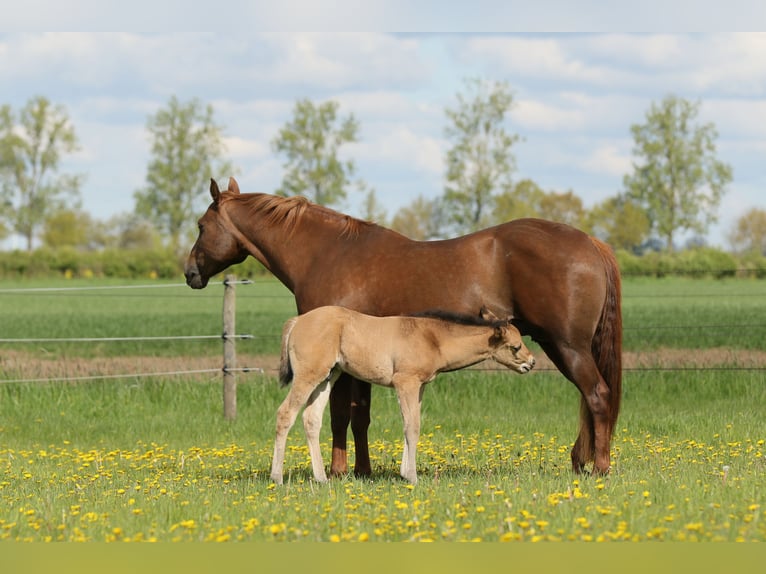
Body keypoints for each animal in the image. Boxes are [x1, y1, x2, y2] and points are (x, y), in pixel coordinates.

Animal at [272, 306, 536, 486]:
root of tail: (297, 321)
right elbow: (412, 427)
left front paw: (405, 472)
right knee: (285, 414)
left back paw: (321, 478)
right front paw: (412, 476)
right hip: (308, 375)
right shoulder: (405, 382)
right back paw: (277, 477)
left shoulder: (419, 386)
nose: (531, 362)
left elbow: (412, 424)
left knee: (311, 419)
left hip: (328, 376)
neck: (432, 338)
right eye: (515, 346)